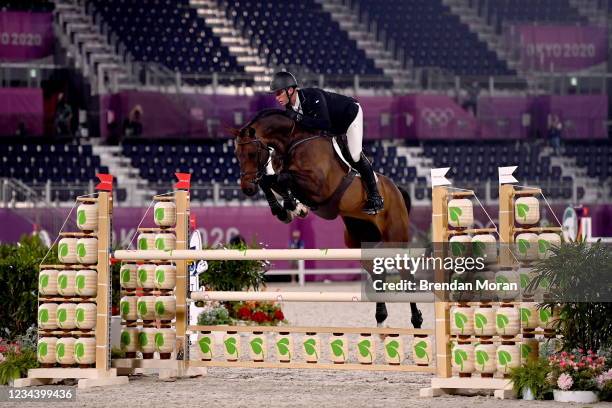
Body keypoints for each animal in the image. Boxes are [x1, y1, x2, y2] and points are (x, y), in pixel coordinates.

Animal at [230, 108, 420, 328]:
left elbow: (282, 178)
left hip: (395, 238)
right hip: (360, 242)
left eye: (252, 153)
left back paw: (417, 321)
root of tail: (397, 189)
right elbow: (270, 180)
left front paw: (293, 206)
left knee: (406, 275)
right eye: (237, 155)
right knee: (377, 273)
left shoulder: (319, 186)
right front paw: (287, 209)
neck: (293, 141)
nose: (247, 189)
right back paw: (381, 319)